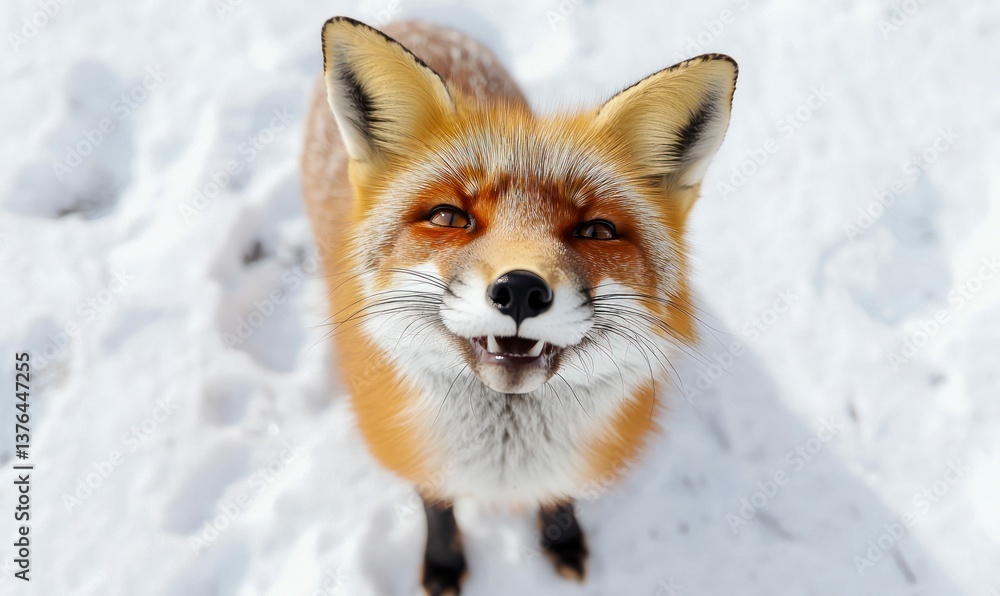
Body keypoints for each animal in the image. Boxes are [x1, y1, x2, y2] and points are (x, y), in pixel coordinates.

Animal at [301, 16, 737, 595]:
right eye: (449, 217)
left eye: (597, 230)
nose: (522, 289)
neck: (506, 464)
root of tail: (414, 19)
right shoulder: (414, 452)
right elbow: (438, 506)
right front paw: (444, 564)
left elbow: (558, 495)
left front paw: (562, 538)